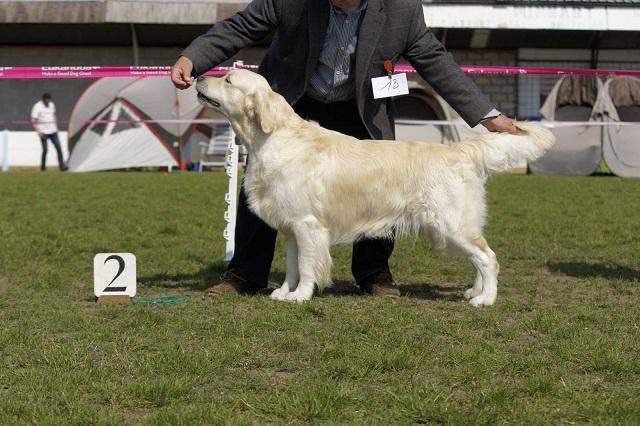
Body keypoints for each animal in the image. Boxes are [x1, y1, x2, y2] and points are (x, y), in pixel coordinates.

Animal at [196, 70, 556, 304]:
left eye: (228, 80)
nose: (198, 77)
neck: (272, 139)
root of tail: (458, 150)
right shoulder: (292, 228)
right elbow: (292, 266)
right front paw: (285, 292)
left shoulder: (307, 225)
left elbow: (308, 267)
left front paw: (300, 296)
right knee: (479, 259)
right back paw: (475, 291)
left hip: (451, 224)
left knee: (488, 258)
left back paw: (485, 300)